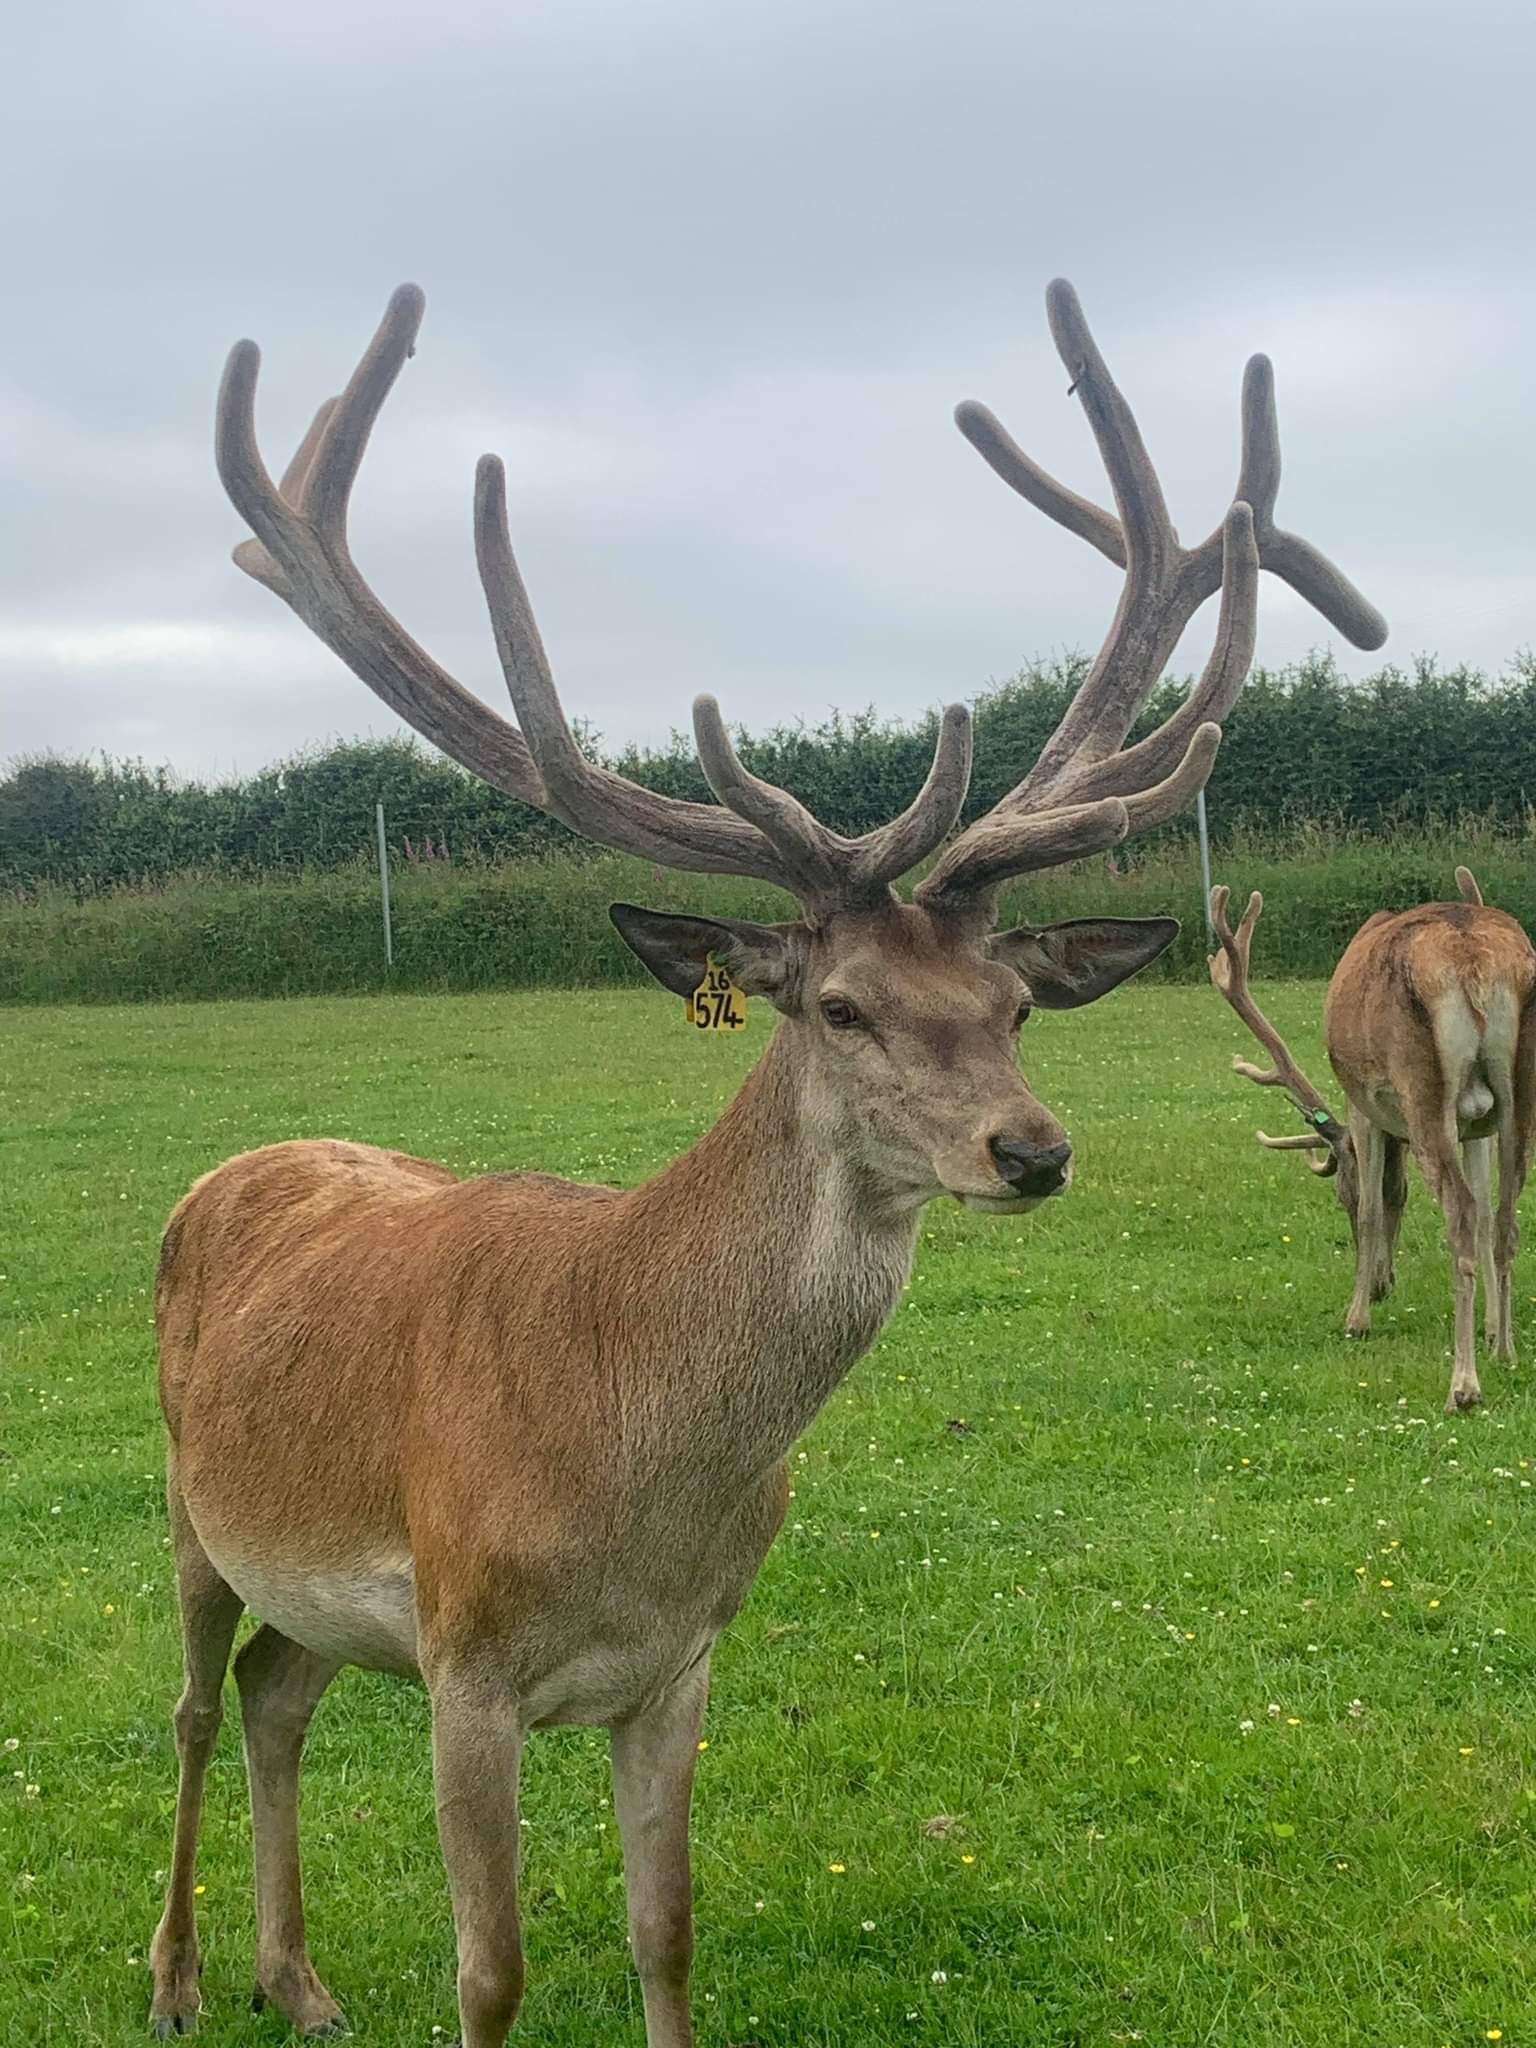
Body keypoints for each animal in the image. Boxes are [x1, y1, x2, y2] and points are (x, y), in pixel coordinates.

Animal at [150, 276, 1392, 2048]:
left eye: (1018, 1004)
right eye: (845, 1005)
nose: (1035, 1149)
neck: (632, 1469)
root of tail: (232, 1166)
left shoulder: (684, 1659)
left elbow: (667, 1934)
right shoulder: (466, 1655)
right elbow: (492, 1975)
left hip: (323, 1599)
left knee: (273, 1693)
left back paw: (296, 1978)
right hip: (193, 1505)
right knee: (194, 1703)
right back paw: (184, 1975)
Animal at [1212, 872, 1536, 1417]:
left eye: (1336, 1193)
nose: (1387, 1286)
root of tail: (1473, 958)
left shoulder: (1364, 1105)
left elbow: (1370, 1206)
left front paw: (1357, 1317)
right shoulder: (1477, 1127)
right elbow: (1483, 1213)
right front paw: (1494, 1331)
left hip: (1422, 1089)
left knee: (1461, 1213)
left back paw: (1463, 1385)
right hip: (1520, 1094)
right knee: (1505, 1217)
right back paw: (1505, 1355)